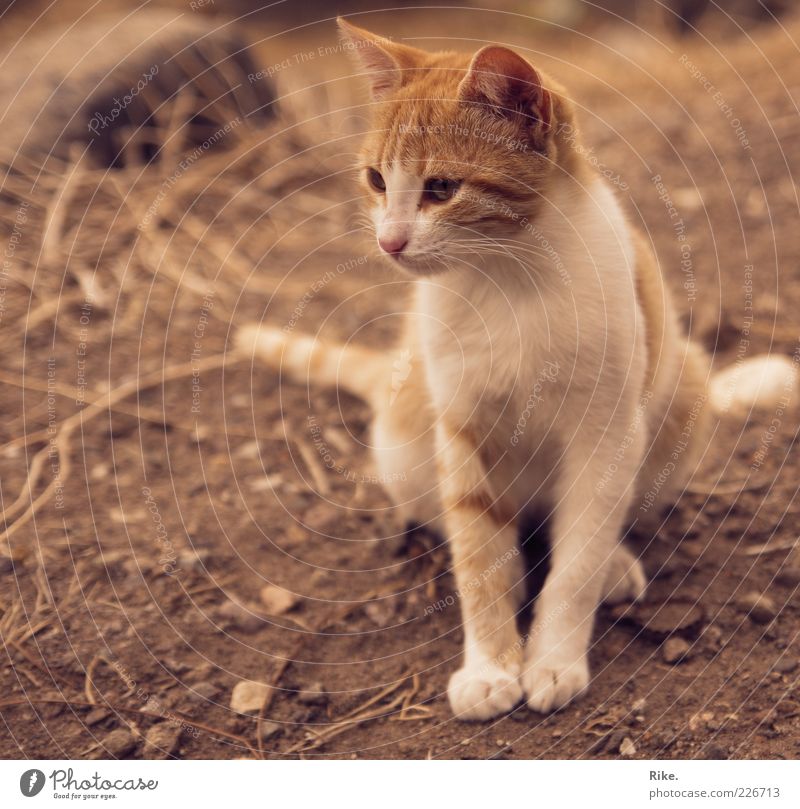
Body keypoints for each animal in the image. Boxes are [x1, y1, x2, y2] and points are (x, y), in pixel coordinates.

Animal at [236, 15, 792, 716]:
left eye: (441, 189)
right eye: (376, 181)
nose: (389, 242)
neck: (507, 283)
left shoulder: (605, 437)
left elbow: (576, 562)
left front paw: (553, 659)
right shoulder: (462, 431)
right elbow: (479, 562)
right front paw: (490, 667)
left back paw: (611, 565)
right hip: (405, 451)